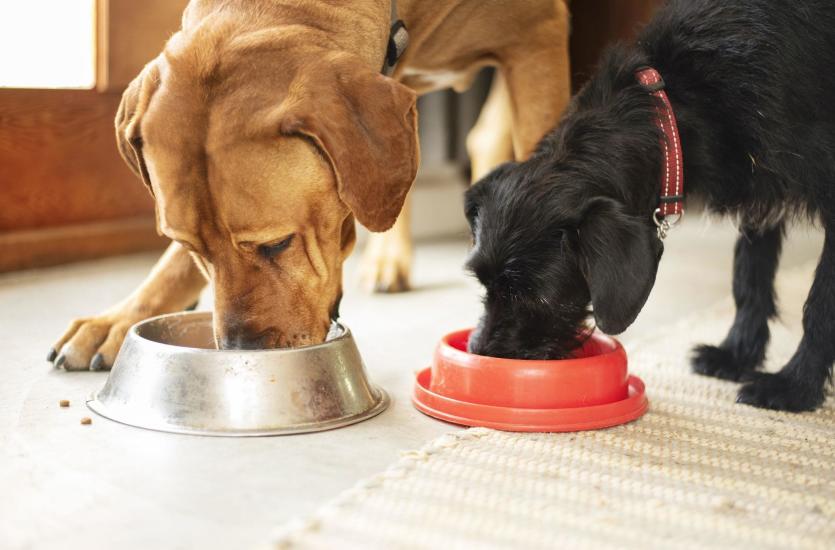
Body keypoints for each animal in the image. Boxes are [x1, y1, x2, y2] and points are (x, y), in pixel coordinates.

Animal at [49, 0, 572, 370]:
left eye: (277, 244)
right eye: (194, 248)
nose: (240, 349)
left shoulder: (538, 37)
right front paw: (125, 316)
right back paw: (390, 259)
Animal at [464, 0, 835, 412]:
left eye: (537, 296)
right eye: (483, 283)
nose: (481, 354)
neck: (680, 100)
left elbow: (819, 304)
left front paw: (794, 387)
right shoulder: (759, 188)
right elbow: (749, 274)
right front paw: (736, 355)